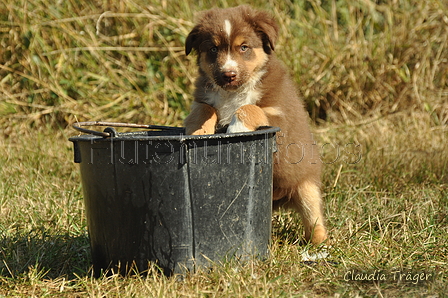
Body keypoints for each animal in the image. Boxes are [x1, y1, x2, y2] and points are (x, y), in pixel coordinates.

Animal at [184, 5, 328, 244]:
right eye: (213, 49)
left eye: (244, 47)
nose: (228, 74)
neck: (233, 93)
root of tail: (279, 200)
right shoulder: (203, 98)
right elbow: (205, 109)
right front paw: (198, 131)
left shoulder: (280, 115)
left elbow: (249, 107)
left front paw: (236, 128)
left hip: (306, 186)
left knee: (314, 217)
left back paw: (317, 244)